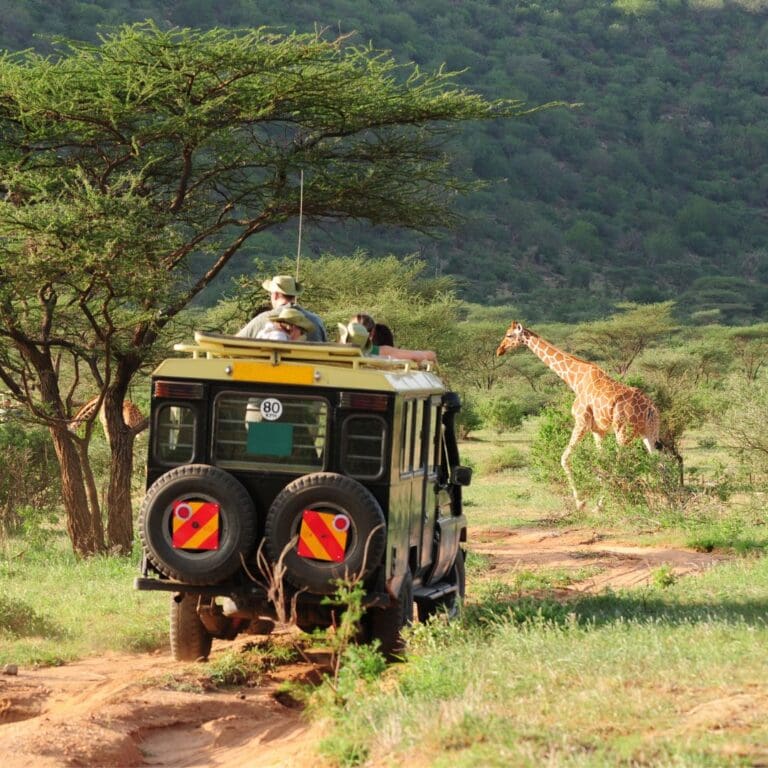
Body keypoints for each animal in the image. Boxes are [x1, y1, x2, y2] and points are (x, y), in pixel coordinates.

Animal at [496, 320, 664, 510]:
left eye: (509, 335)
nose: (499, 350)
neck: (575, 380)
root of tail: (651, 408)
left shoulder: (581, 422)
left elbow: (565, 458)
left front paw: (582, 502)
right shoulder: (599, 431)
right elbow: (600, 462)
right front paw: (603, 500)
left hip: (623, 432)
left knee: (621, 462)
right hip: (649, 433)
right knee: (659, 463)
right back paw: (664, 503)